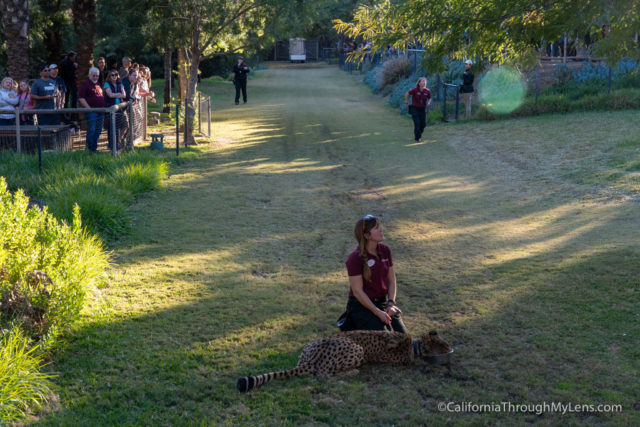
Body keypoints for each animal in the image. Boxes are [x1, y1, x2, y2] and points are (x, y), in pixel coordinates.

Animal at [236, 332, 450, 392]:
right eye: (442, 344)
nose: (449, 347)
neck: (415, 345)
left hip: (309, 347)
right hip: (357, 348)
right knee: (323, 375)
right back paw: (353, 372)